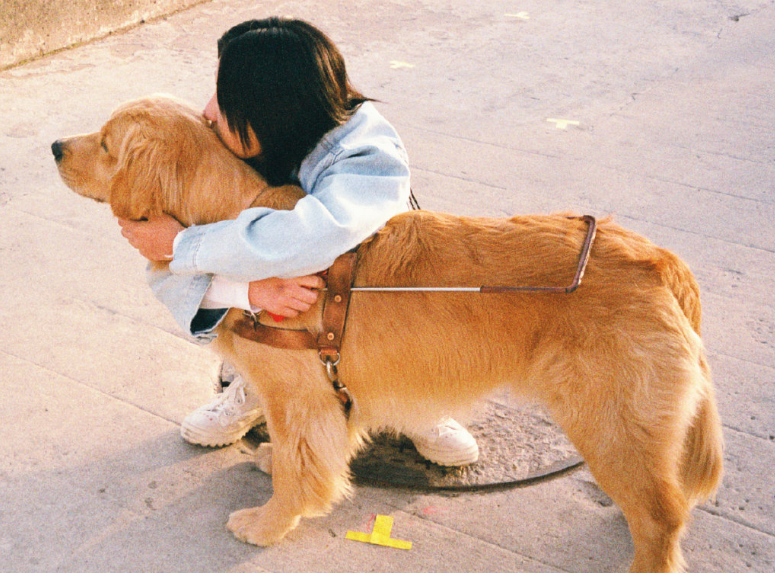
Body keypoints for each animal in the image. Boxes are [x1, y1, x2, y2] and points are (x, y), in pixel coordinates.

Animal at [53, 95, 720, 572]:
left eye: (107, 142)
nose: (55, 144)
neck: (230, 219)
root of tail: (656, 258)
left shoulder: (299, 398)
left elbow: (300, 468)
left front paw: (267, 525)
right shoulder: (324, 399)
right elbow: (308, 457)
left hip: (607, 421)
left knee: (661, 516)